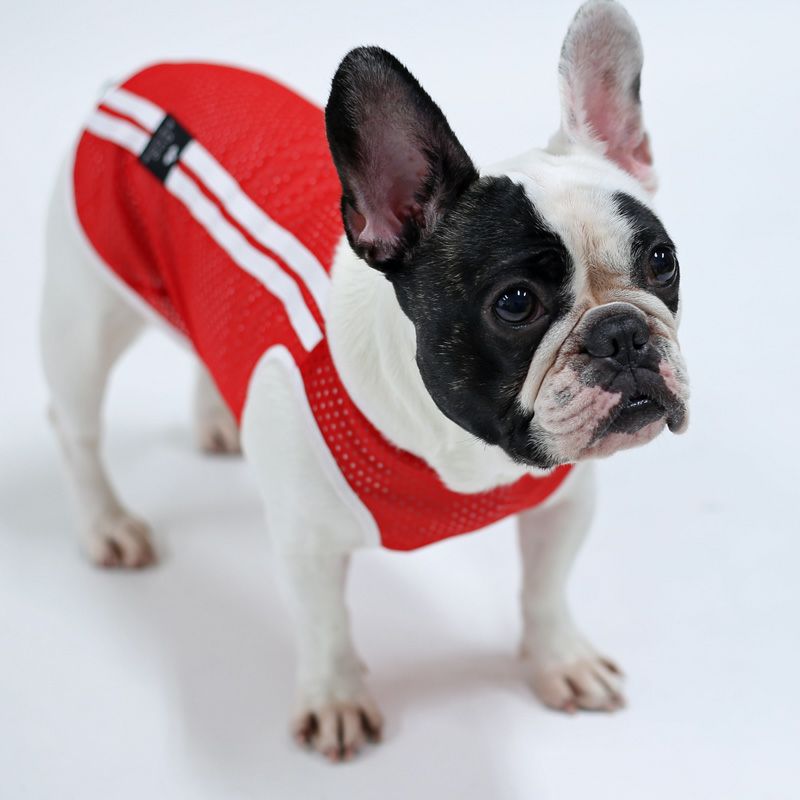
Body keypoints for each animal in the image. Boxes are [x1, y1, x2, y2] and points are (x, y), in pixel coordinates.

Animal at [40, 0, 689, 761]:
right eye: (516, 303)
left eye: (661, 261)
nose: (623, 332)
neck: (462, 451)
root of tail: (131, 80)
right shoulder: (309, 545)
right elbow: (326, 624)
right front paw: (335, 698)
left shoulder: (562, 503)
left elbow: (545, 588)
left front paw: (560, 659)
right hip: (84, 317)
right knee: (76, 429)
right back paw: (107, 523)